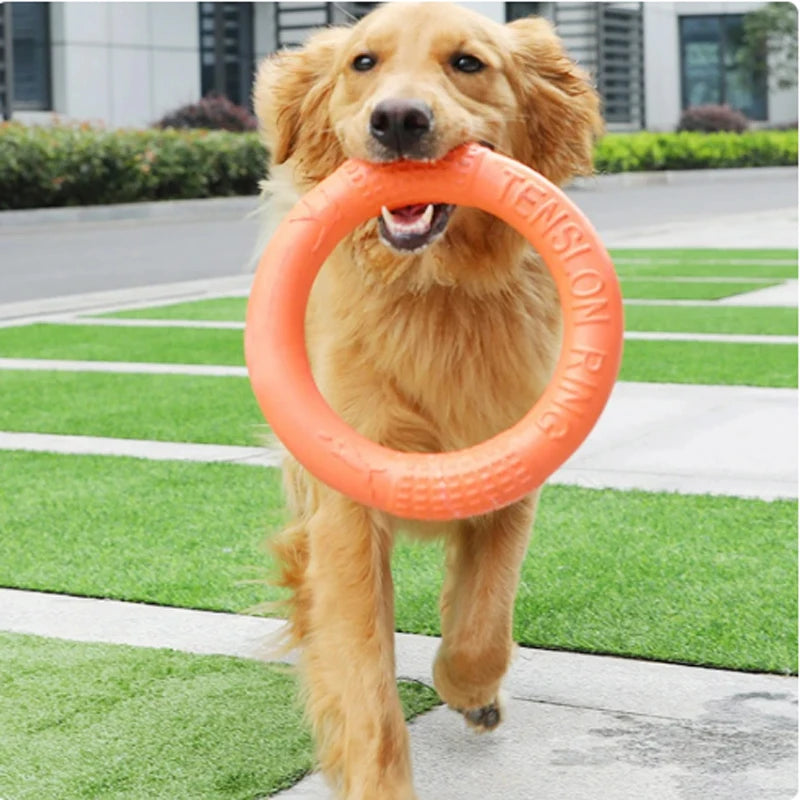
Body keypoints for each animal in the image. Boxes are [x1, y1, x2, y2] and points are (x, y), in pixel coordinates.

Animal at [252, 4, 600, 792]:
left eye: (467, 62)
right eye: (363, 62)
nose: (399, 120)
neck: (433, 289)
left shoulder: (510, 468)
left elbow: (483, 619)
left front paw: (472, 692)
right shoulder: (347, 503)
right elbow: (363, 672)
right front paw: (378, 779)